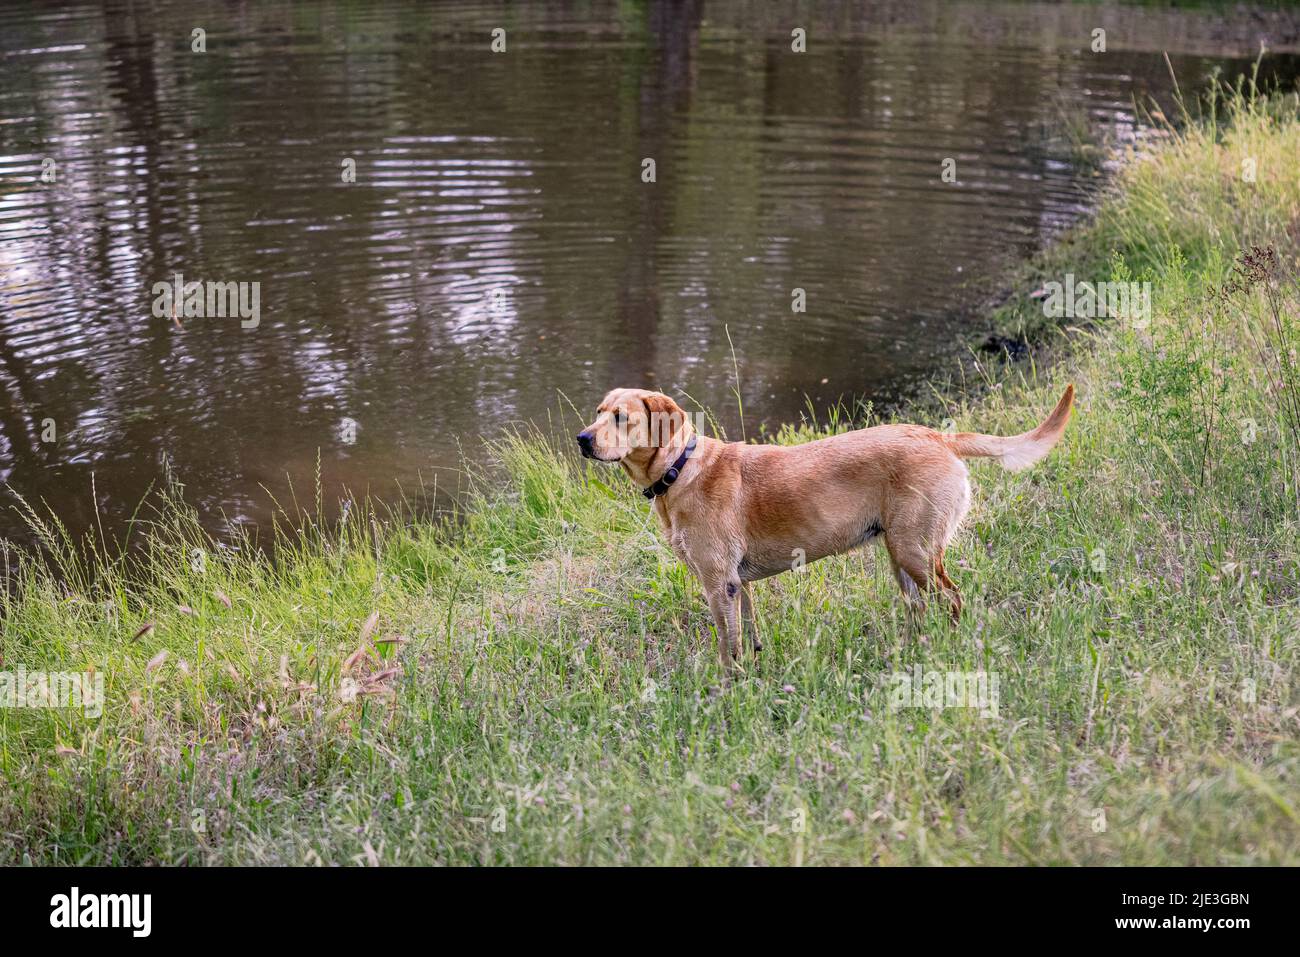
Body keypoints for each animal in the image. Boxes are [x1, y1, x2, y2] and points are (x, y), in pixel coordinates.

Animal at [579, 384, 1076, 670]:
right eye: (598, 411)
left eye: (620, 417)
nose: (582, 439)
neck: (679, 469)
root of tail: (936, 435)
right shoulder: (739, 584)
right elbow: (749, 635)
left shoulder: (718, 582)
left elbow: (726, 644)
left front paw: (727, 686)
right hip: (900, 557)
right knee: (922, 610)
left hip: (916, 552)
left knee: (953, 600)